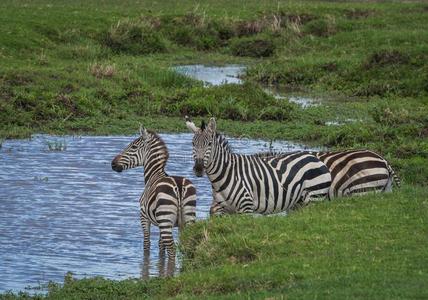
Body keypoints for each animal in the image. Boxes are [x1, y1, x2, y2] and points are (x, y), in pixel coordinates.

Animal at [185, 116, 332, 214]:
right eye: (193, 144)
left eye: (209, 144)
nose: (198, 169)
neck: (223, 176)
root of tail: (315, 158)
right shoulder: (221, 209)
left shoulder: (246, 206)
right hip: (298, 203)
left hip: (314, 198)